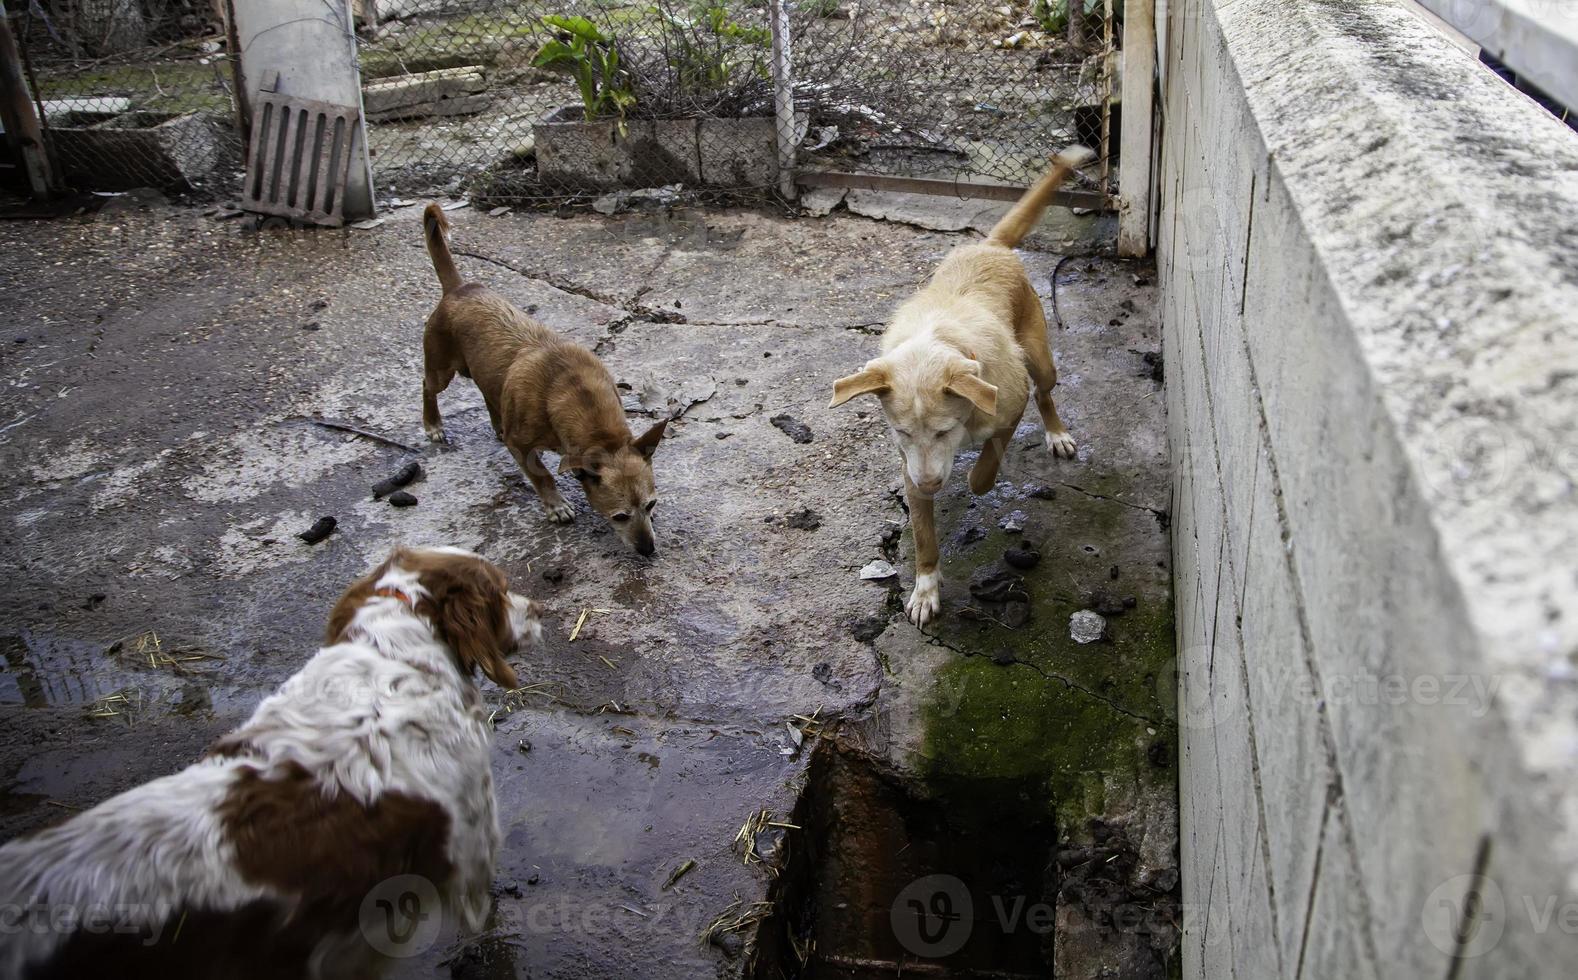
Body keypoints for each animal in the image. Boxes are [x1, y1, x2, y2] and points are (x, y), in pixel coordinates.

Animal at [419, 201, 665, 555]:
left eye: (650, 505)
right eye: (619, 516)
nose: (648, 550)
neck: (571, 388)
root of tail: (459, 289)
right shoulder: (521, 445)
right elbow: (542, 475)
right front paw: (555, 505)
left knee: (488, 392)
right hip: (441, 368)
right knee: (428, 386)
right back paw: (433, 424)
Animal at [826, 149, 1098, 621]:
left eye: (944, 430)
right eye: (900, 432)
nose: (930, 485)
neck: (939, 343)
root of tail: (989, 246)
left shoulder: (1009, 406)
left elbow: (987, 464)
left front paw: (977, 478)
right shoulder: (909, 468)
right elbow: (923, 537)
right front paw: (924, 590)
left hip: (1040, 357)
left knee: (1045, 391)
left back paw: (1056, 433)